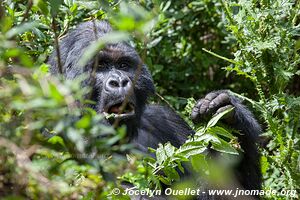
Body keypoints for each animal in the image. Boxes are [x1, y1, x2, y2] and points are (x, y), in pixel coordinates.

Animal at [48, 20, 262, 198]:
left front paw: (227, 112)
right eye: (100, 66)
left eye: (123, 65)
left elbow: (232, 188)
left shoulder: (164, 118)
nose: (120, 81)